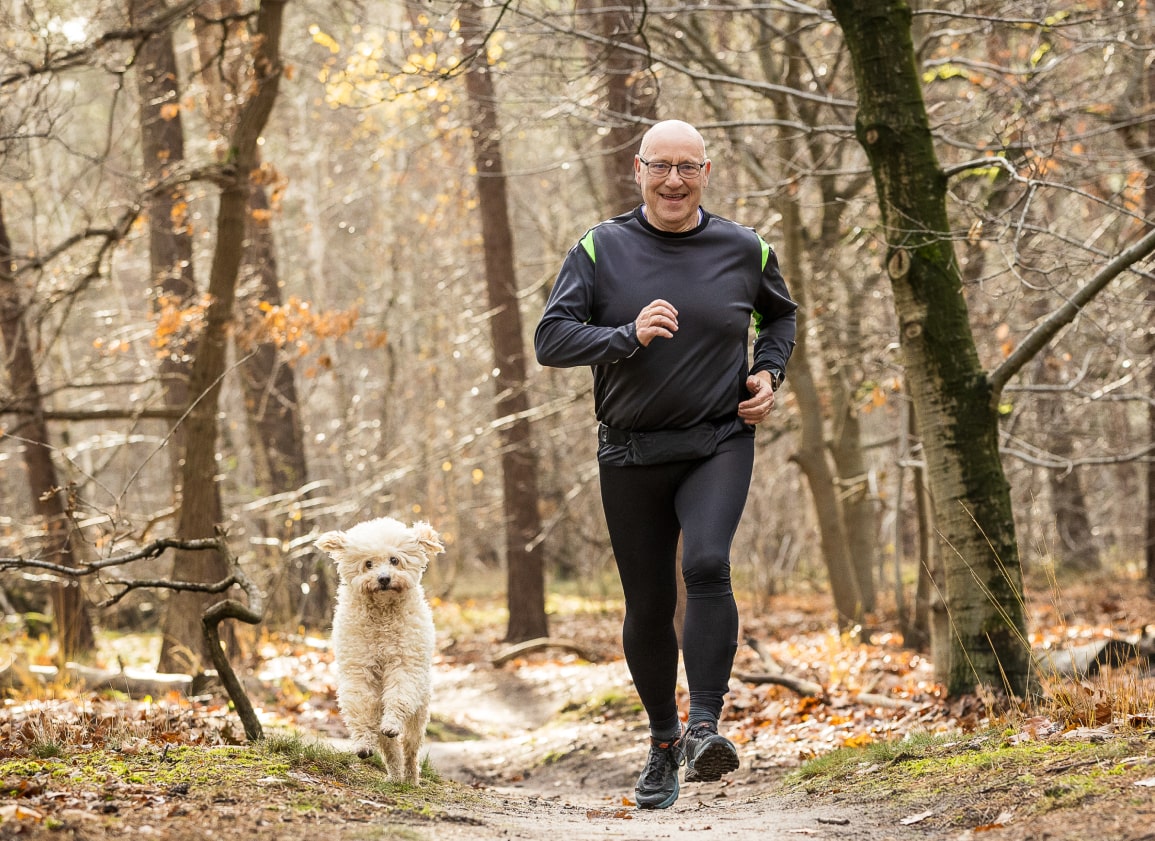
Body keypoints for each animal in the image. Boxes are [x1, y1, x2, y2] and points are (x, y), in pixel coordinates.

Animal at [314, 515, 443, 785]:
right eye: (368, 564)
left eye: (394, 560)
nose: (383, 578)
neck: (383, 613)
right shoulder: (359, 670)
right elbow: (359, 705)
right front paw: (363, 743)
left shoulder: (404, 665)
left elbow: (399, 696)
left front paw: (392, 723)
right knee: (390, 750)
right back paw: (394, 777)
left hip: (419, 713)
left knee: (410, 749)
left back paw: (410, 779)